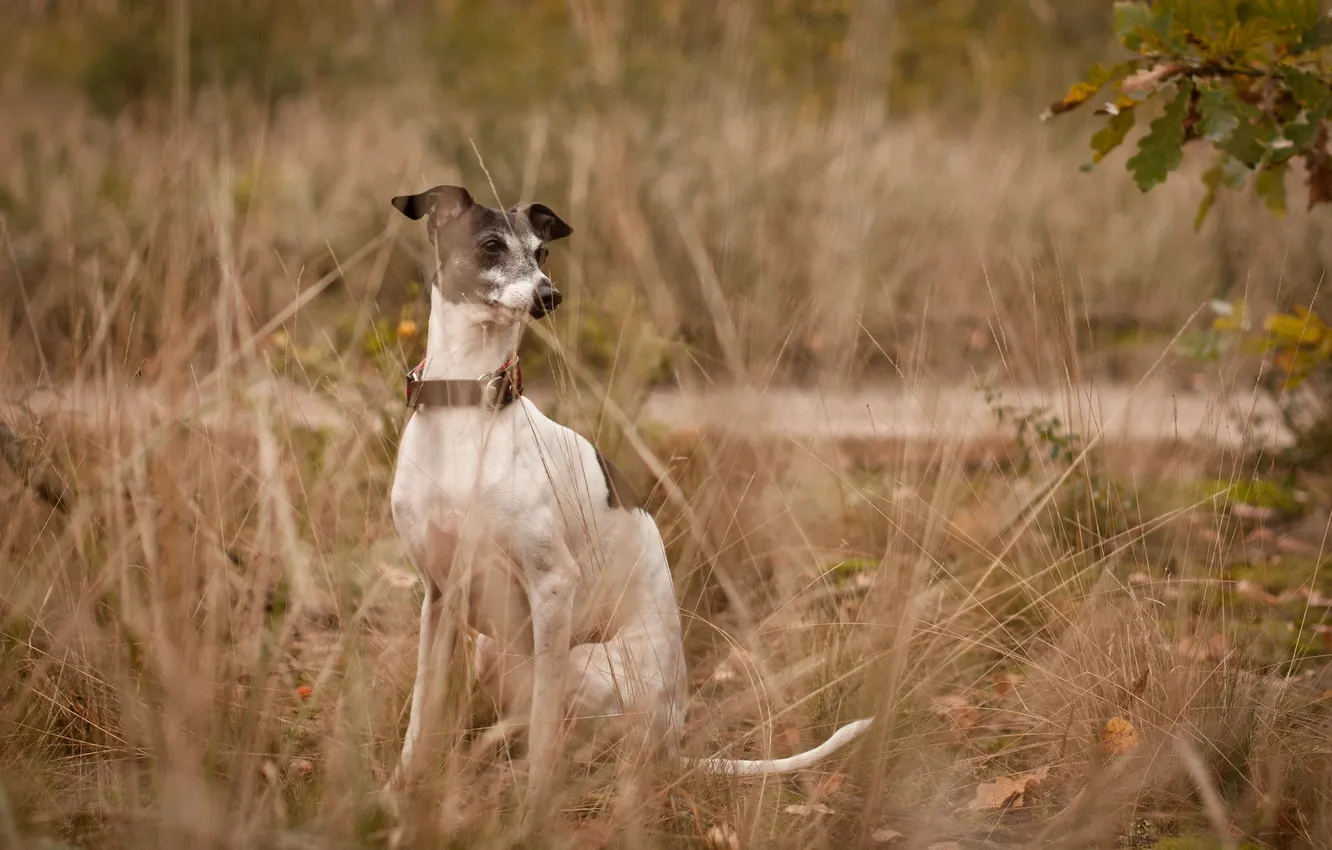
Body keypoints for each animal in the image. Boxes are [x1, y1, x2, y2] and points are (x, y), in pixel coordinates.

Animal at [383, 185, 873, 794]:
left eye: (542, 252)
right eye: (491, 245)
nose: (550, 295)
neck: (466, 406)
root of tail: (673, 743)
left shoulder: (553, 588)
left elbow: (543, 731)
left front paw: (532, 805)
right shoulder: (439, 595)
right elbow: (420, 714)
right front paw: (397, 792)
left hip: (579, 662)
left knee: (579, 746)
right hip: (491, 650)